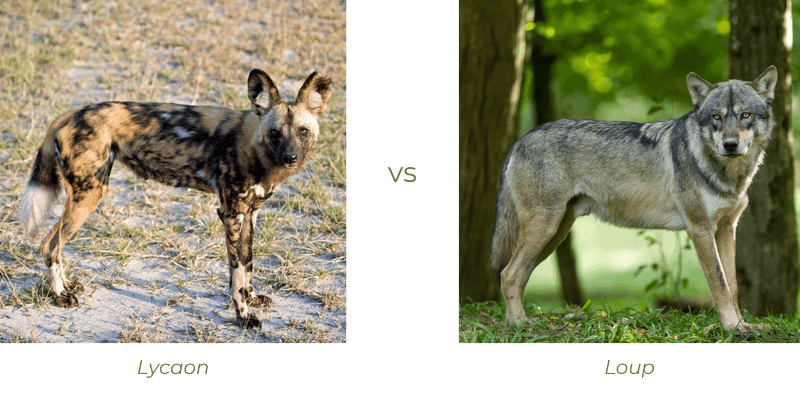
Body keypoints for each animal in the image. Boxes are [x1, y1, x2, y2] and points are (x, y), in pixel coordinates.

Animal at [18, 69, 332, 329]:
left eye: (303, 131)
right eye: (275, 132)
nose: (290, 158)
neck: (256, 149)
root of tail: (74, 111)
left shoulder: (250, 215)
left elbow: (247, 264)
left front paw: (251, 298)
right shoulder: (231, 214)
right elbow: (236, 271)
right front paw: (243, 316)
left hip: (86, 196)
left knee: (53, 244)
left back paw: (68, 286)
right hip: (89, 196)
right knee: (50, 244)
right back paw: (60, 296)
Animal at [490, 66, 778, 335]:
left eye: (745, 115)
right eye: (717, 117)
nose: (730, 145)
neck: (730, 176)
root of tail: (520, 140)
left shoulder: (726, 229)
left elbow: (732, 285)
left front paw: (740, 324)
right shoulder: (700, 230)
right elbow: (719, 284)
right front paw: (731, 327)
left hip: (554, 235)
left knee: (518, 276)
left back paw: (518, 321)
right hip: (545, 228)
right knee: (508, 274)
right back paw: (519, 324)